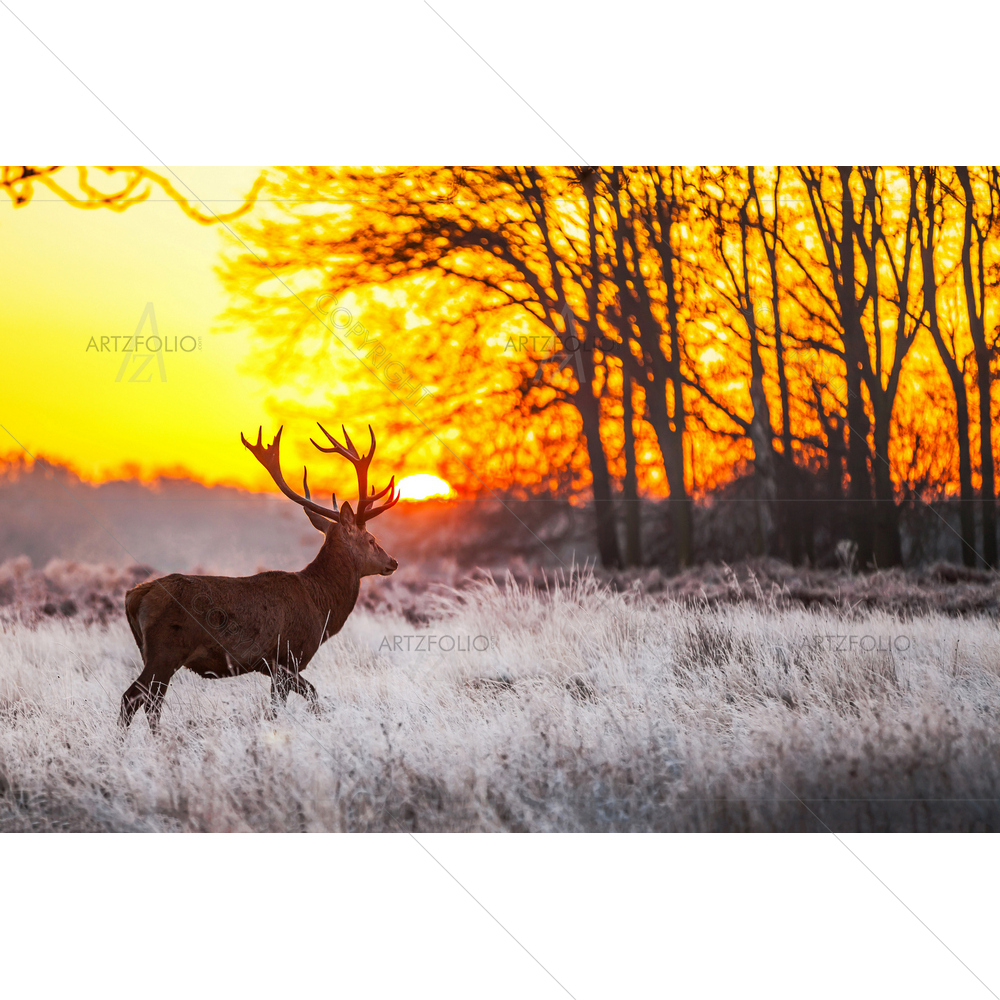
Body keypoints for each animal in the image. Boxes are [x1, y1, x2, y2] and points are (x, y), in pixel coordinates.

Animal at [118, 422, 400, 732]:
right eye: (372, 539)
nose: (393, 562)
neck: (320, 604)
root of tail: (134, 595)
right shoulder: (286, 657)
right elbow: (307, 698)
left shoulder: (275, 666)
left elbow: (285, 705)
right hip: (165, 651)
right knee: (134, 698)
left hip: (151, 652)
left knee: (149, 701)